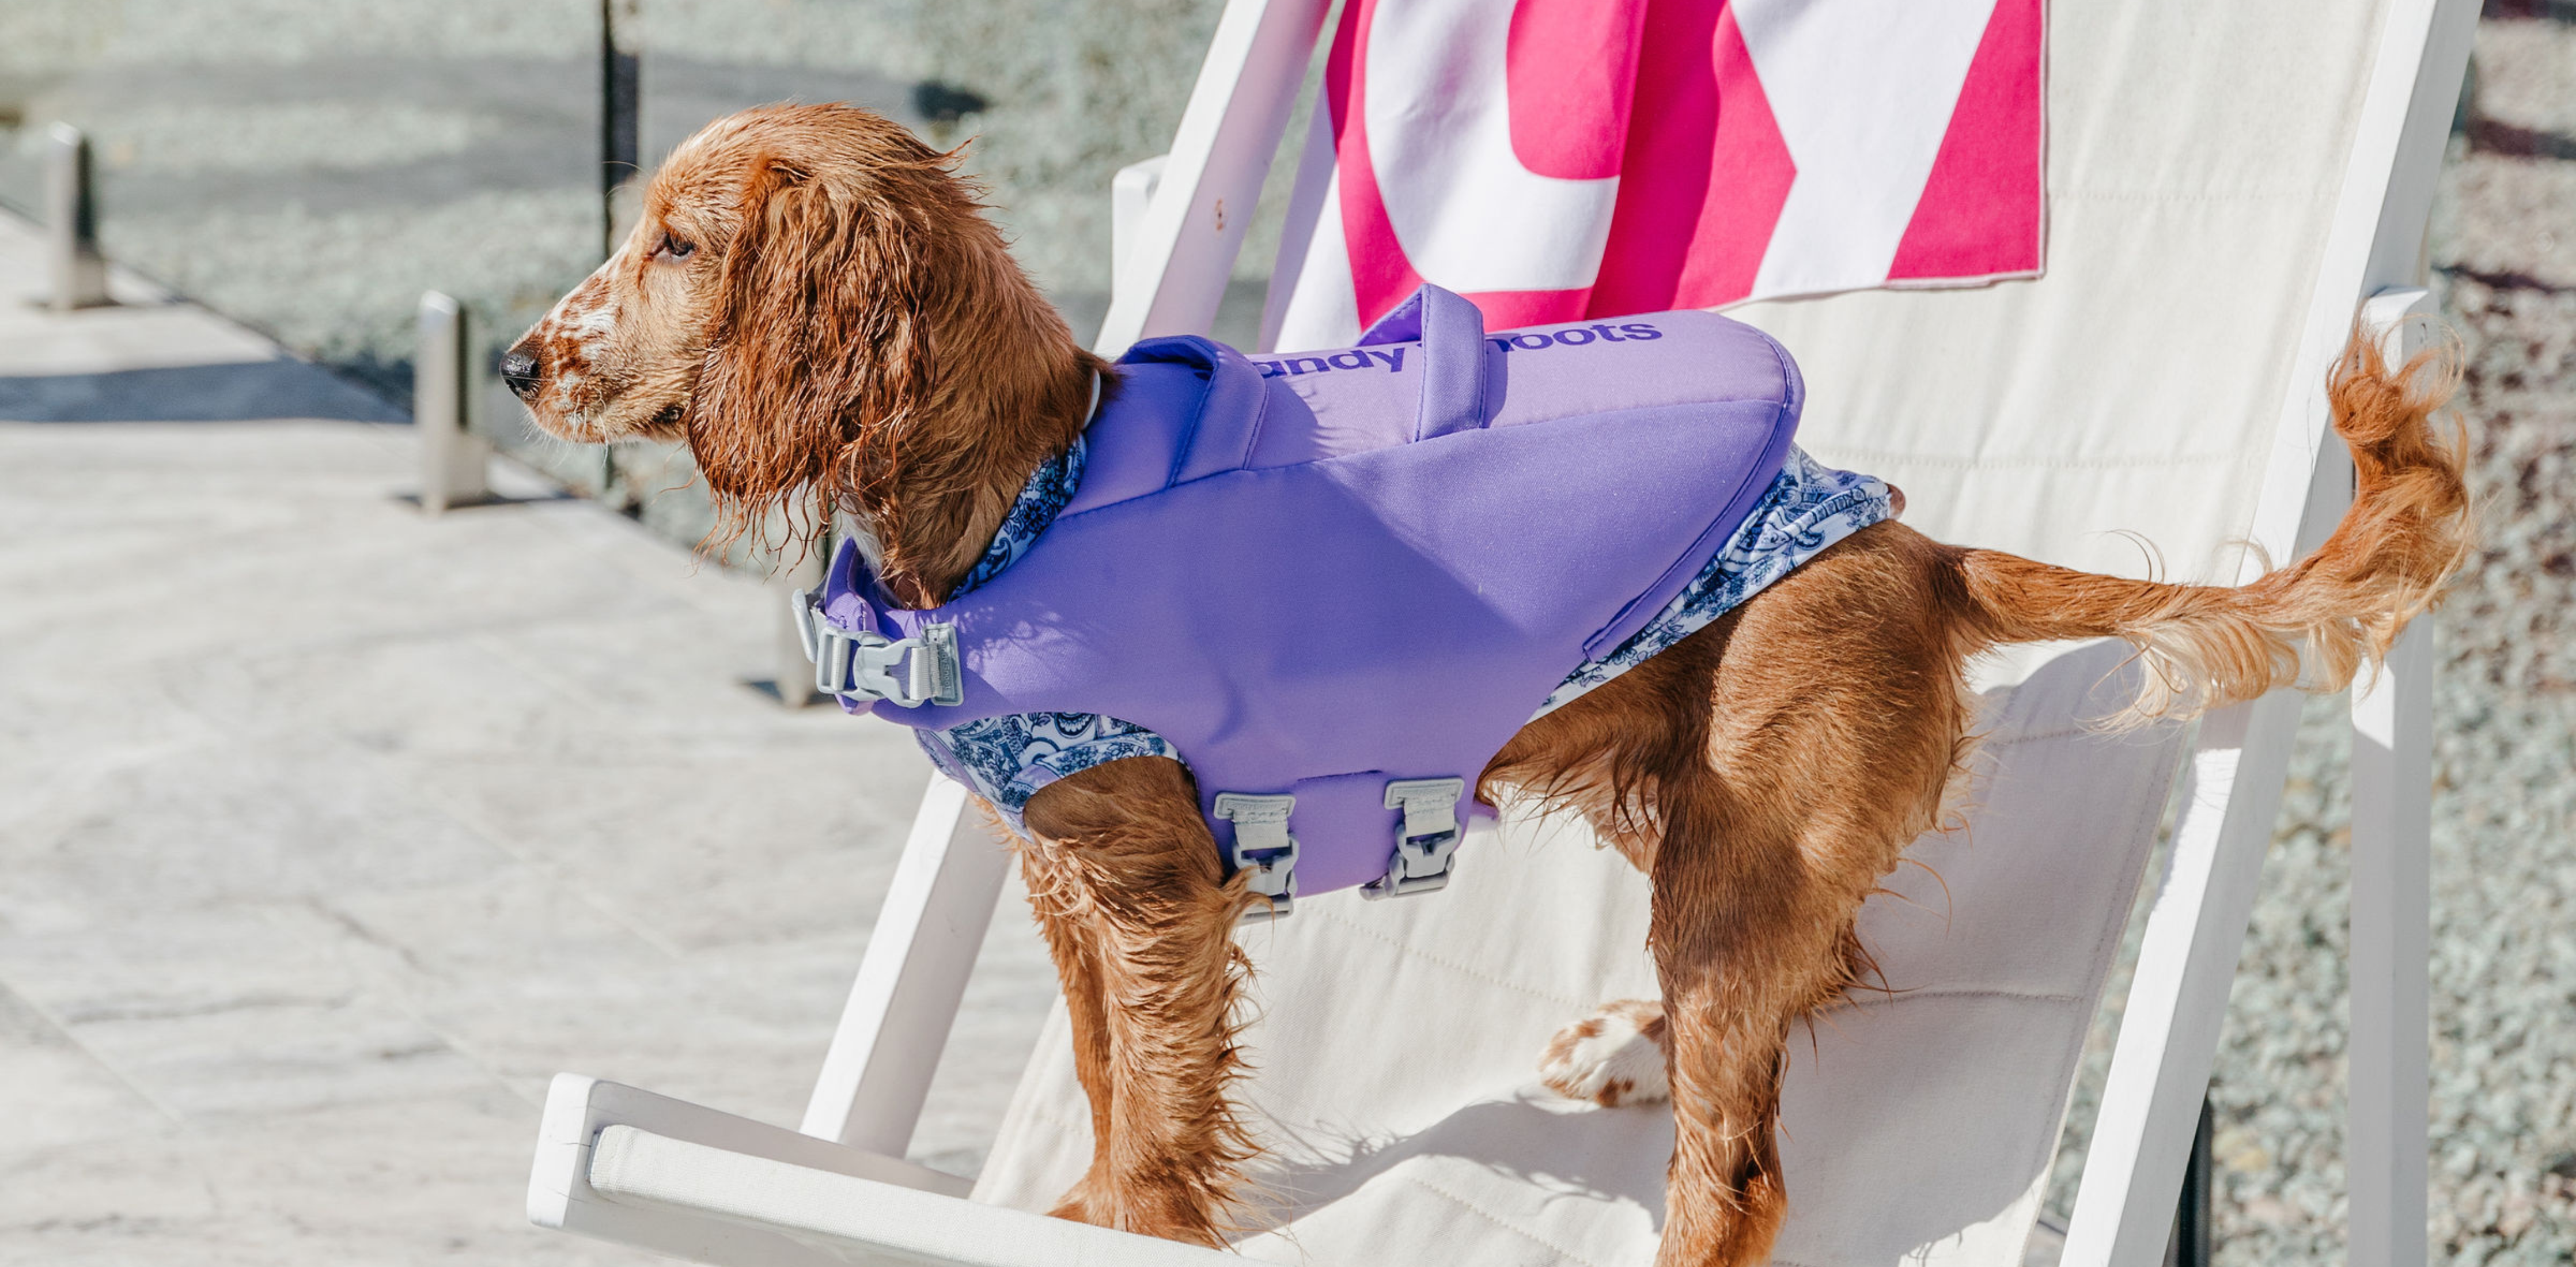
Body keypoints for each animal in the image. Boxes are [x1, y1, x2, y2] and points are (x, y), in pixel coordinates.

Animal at [507, 103, 2473, 1262]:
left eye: (678, 245)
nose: (520, 360)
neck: (1022, 491)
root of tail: (1914, 545)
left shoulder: (1145, 885)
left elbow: (1150, 1099)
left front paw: (1121, 1221)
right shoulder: (1064, 881)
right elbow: (1094, 1071)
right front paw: (1077, 1198)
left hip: (1731, 845)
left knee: (1743, 1168)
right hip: (1687, 806)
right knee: (1822, 970)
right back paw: (1626, 1043)